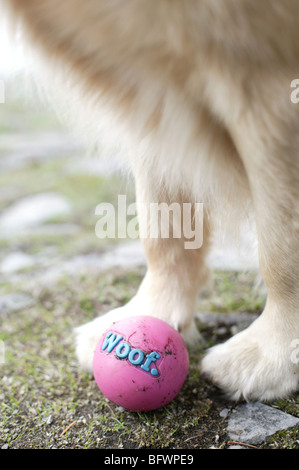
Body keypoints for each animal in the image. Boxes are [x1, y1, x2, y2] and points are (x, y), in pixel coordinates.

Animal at [2, 0, 299, 404]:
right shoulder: (154, 93)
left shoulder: (265, 83)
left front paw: (271, 352)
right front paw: (155, 308)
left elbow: (282, 251)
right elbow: (163, 228)